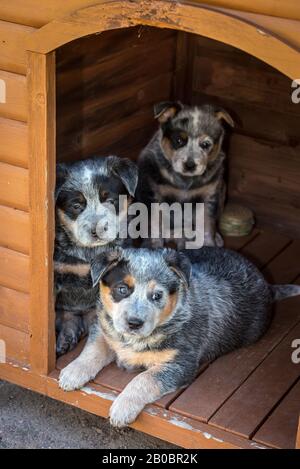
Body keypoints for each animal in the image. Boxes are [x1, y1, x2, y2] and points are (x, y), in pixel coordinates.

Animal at [58, 247, 300, 426]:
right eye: (122, 289)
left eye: (157, 296)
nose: (134, 323)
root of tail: (267, 284)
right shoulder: (104, 327)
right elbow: (92, 350)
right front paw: (72, 372)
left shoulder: (180, 364)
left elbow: (143, 379)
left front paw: (122, 407)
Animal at [137, 101, 234, 249]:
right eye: (179, 141)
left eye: (206, 144)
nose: (190, 165)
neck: (185, 181)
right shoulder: (155, 195)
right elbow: (155, 226)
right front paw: (154, 247)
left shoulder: (208, 195)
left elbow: (207, 225)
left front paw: (209, 245)